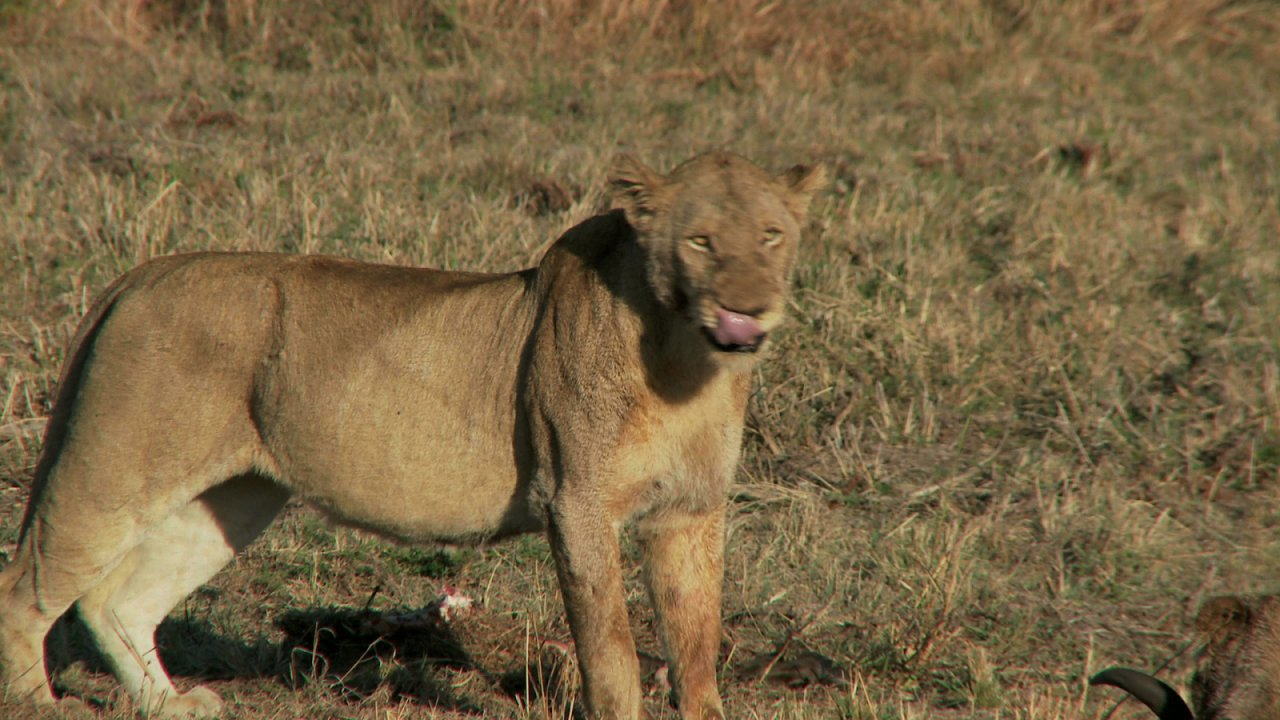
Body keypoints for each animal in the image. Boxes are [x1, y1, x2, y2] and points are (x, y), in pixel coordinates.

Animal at [0, 151, 826, 719]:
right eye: (700, 242)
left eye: (771, 235)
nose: (751, 306)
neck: (686, 362)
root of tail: (142, 276)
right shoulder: (577, 502)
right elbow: (610, 643)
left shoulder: (690, 513)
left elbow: (696, 636)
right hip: (115, 466)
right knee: (31, 589)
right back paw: (37, 703)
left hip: (233, 498)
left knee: (119, 601)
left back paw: (169, 704)